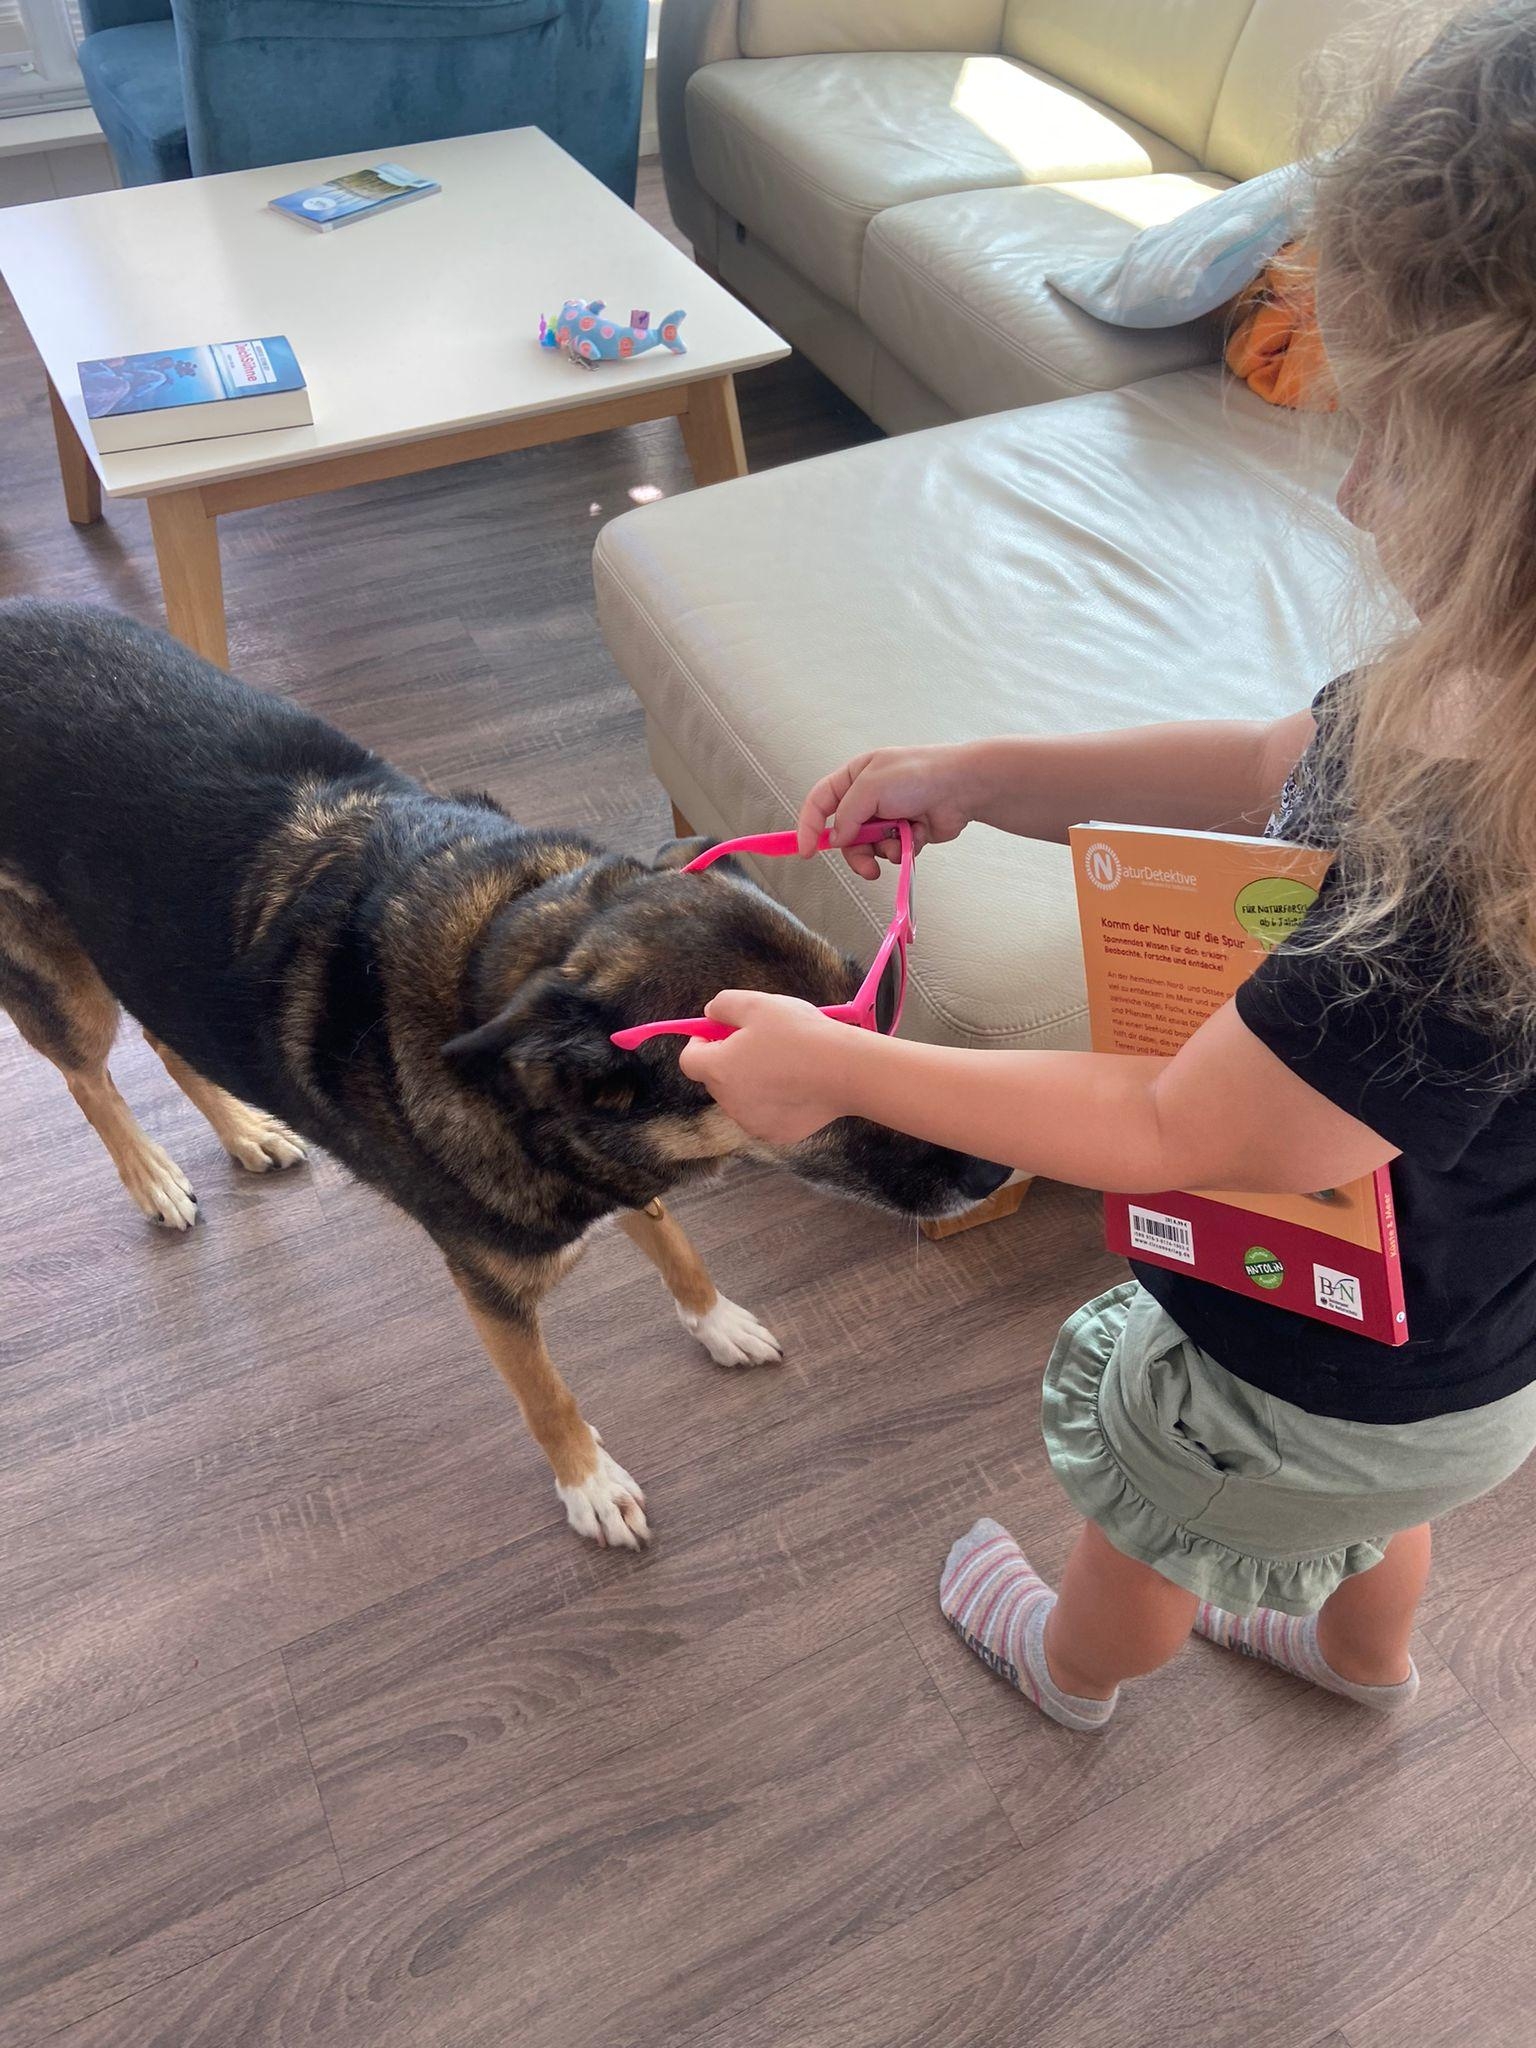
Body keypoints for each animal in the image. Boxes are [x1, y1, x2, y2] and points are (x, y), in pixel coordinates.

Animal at [3, 598, 1011, 1540]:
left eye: (882, 1004)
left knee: (167, 1039)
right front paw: (588, 1485)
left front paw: (715, 1318)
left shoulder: (610, 1158)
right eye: (796, 1084)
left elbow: (675, 1243)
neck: (509, 951)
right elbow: (545, 1392)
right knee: (90, 1078)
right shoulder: (489, 1285)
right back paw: (153, 1176)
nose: (1000, 1169)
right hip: (66, 982)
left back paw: (244, 1131)